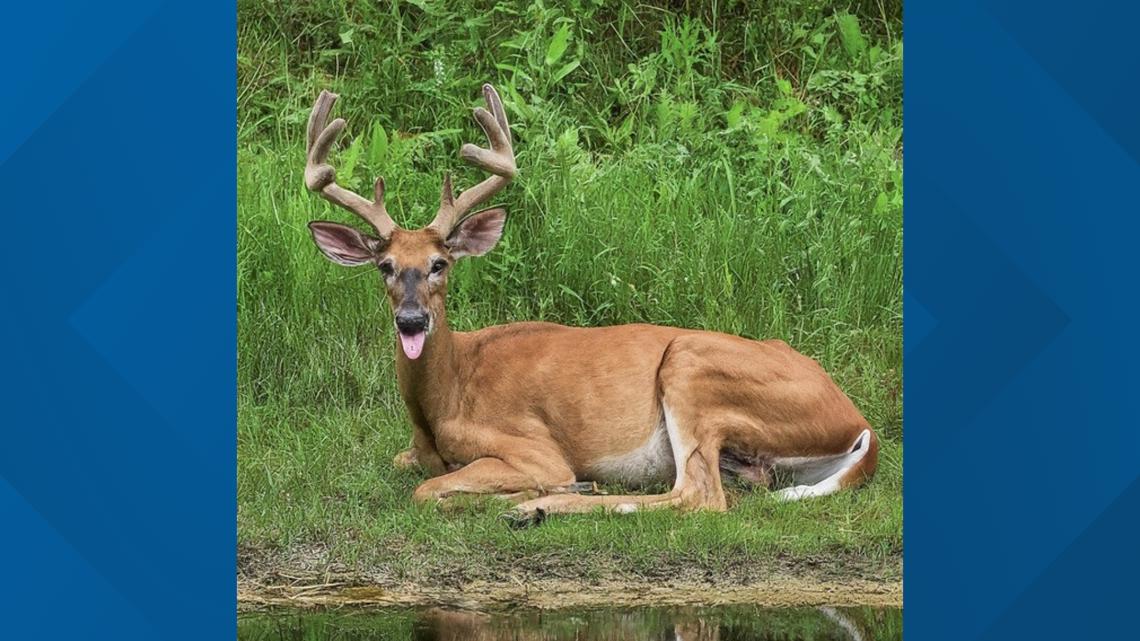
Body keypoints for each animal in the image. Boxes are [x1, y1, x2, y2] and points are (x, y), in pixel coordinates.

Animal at [302, 83, 878, 524]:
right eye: (385, 266)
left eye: (440, 263)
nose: (411, 319)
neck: (444, 398)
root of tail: (858, 423)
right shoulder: (415, 449)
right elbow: (406, 466)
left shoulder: (533, 448)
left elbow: (429, 490)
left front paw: (529, 493)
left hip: (692, 367)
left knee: (698, 496)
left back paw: (544, 505)